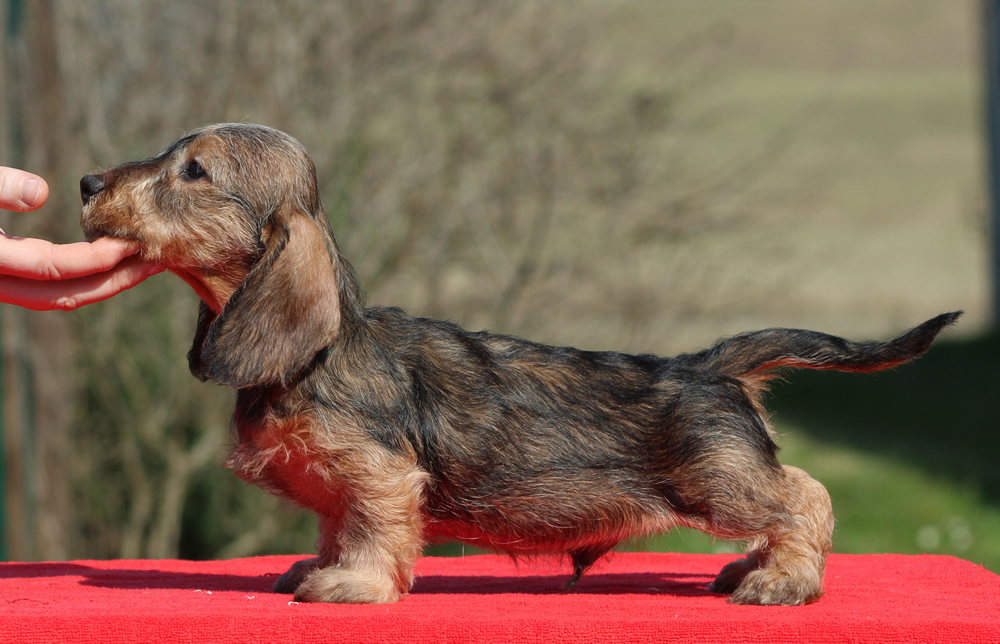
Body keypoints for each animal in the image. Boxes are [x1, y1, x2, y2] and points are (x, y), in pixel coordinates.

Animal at [80, 124, 960, 604]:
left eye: (193, 171)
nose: (88, 180)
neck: (316, 355)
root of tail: (709, 365)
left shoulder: (380, 477)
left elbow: (371, 529)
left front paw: (352, 586)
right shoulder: (344, 485)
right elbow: (335, 524)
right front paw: (319, 567)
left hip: (722, 482)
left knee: (805, 497)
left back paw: (782, 581)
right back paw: (754, 567)